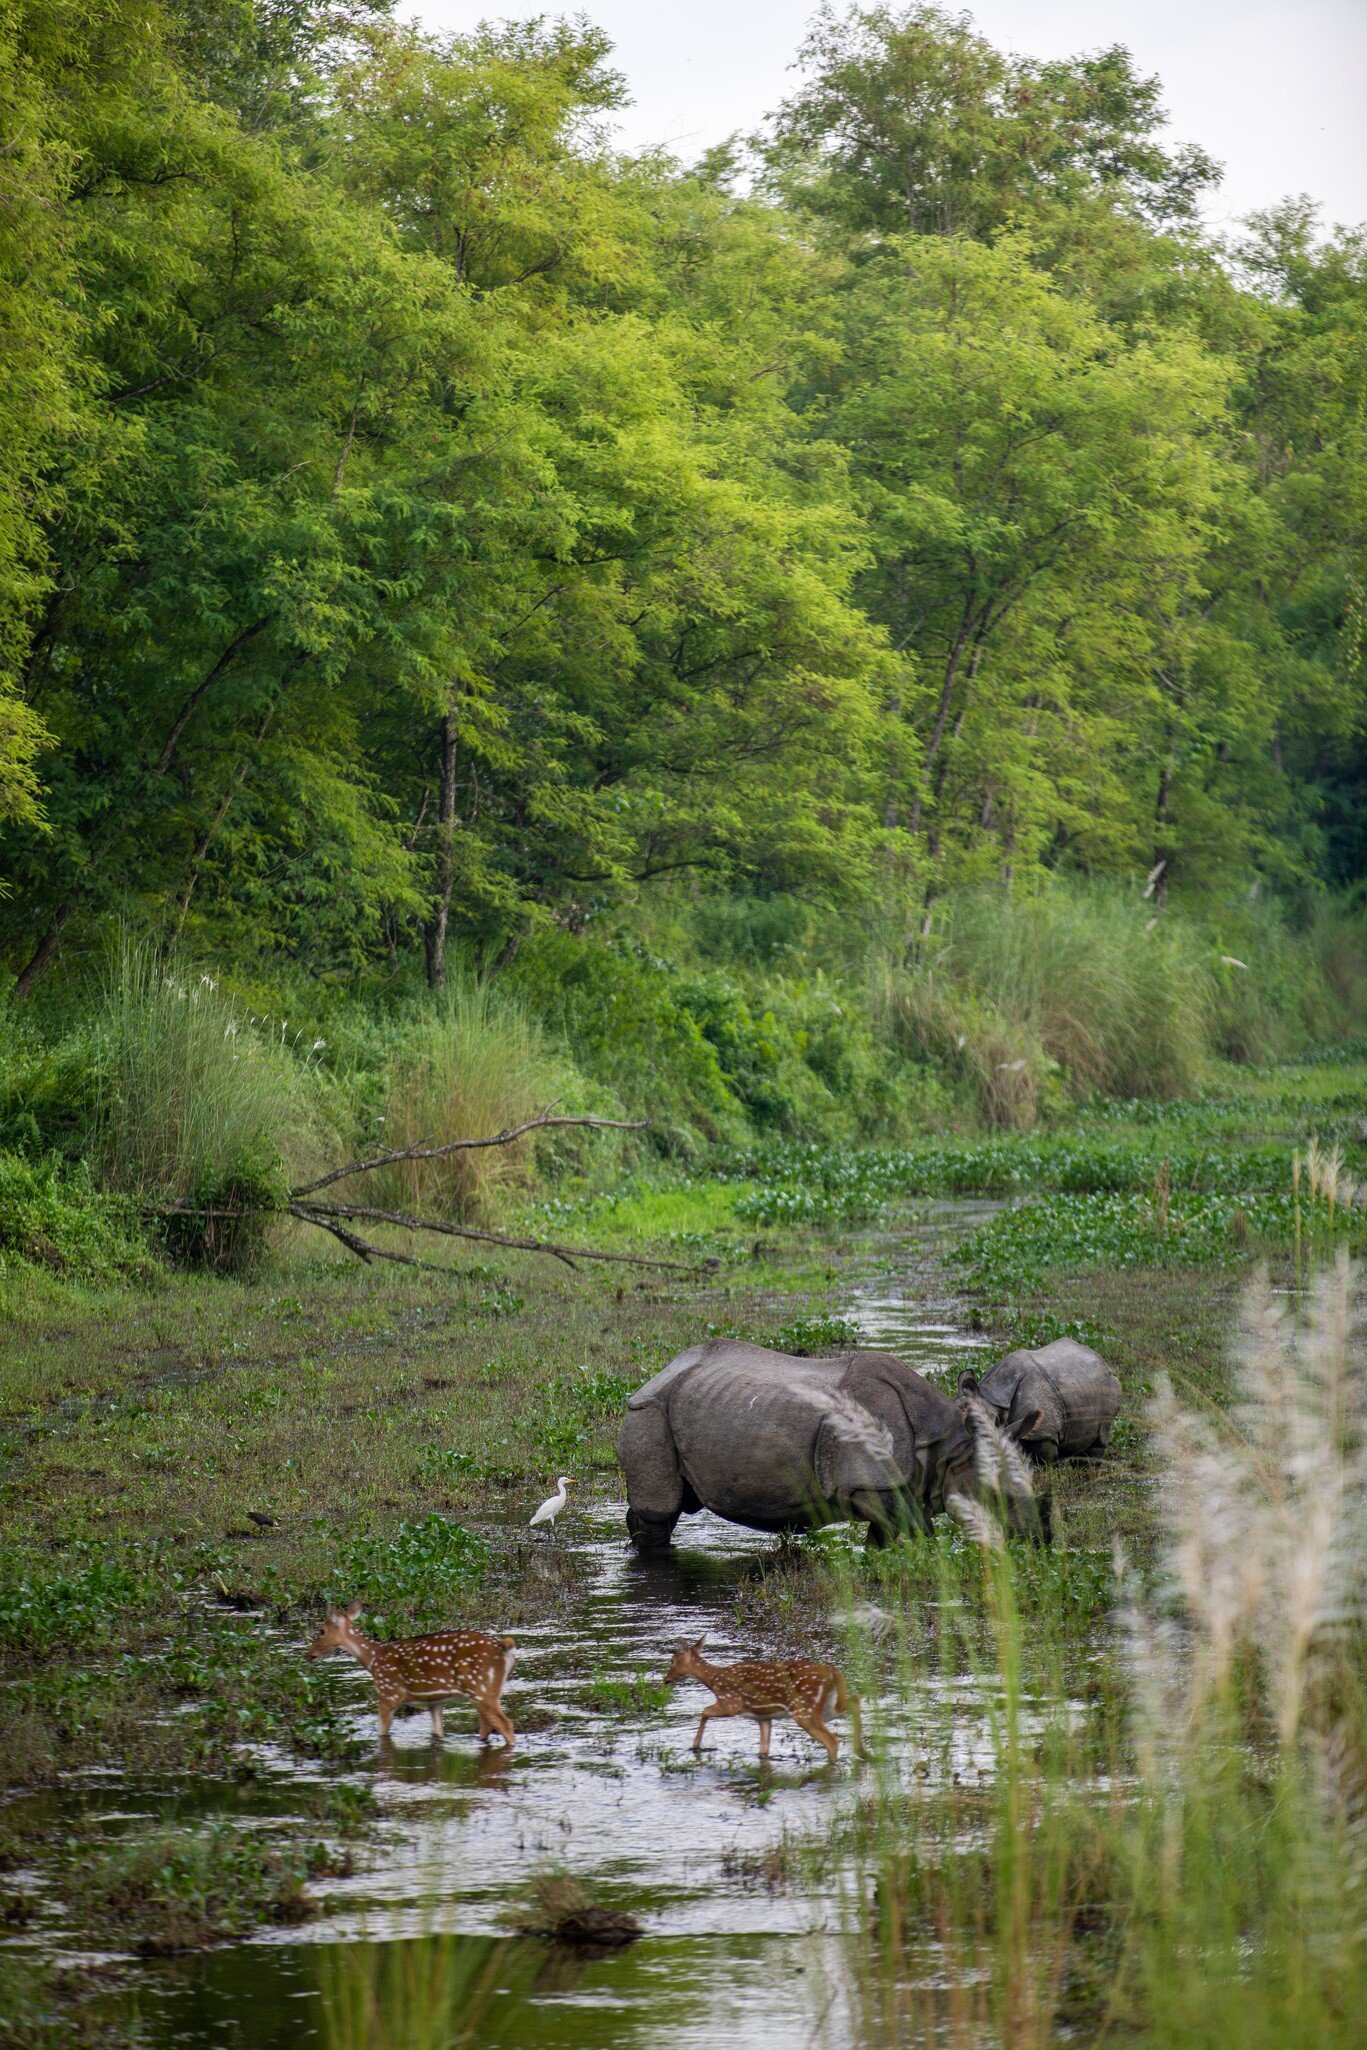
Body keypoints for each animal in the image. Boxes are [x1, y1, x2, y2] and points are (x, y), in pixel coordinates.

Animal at [306, 1601, 516, 1746]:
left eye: (322, 1631)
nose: (309, 1655)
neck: (373, 1660)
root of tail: (505, 1646)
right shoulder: (434, 1702)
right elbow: (437, 1733)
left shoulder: (389, 1694)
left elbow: (382, 1733)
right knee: (487, 1727)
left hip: (480, 1689)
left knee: (506, 1725)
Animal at [617, 1339, 1042, 1551]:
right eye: (996, 1496)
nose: (1036, 1539)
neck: (946, 1447)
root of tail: (659, 1373)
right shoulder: (867, 1480)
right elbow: (920, 1530)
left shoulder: (888, 1484)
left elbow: (888, 1536)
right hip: (649, 1411)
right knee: (660, 1511)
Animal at [664, 1638, 864, 1764]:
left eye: (673, 1660)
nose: (666, 1679)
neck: (713, 1680)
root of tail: (831, 1670)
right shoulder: (763, 1717)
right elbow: (763, 1751)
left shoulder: (730, 1703)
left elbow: (704, 1711)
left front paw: (696, 1745)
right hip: (828, 1707)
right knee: (855, 1700)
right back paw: (861, 1750)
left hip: (804, 1709)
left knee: (832, 1740)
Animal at [962, 1338, 1122, 1464]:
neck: (993, 1401)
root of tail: (1102, 1360)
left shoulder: (1044, 1432)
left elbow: (1044, 1459)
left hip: (1110, 1385)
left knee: (1100, 1436)